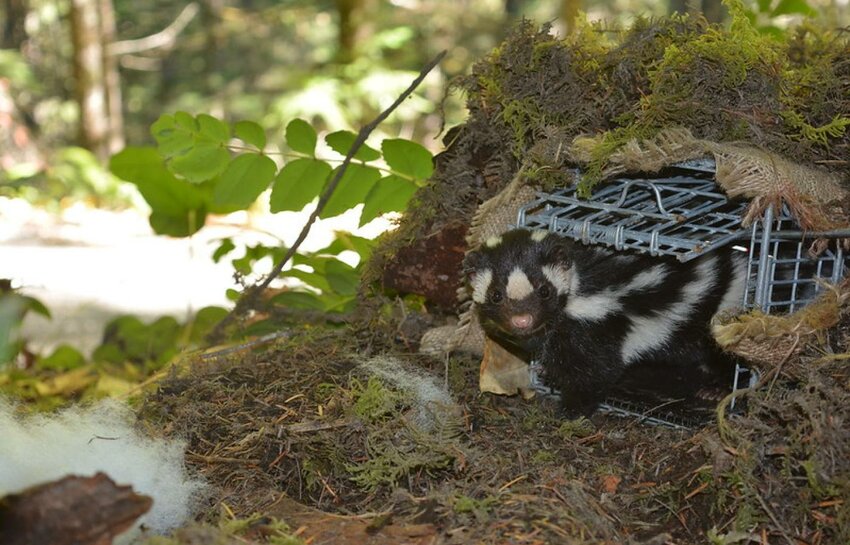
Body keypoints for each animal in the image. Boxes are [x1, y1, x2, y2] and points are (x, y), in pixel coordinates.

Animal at [460, 227, 744, 414]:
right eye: (496, 295)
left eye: (545, 291)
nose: (522, 320)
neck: (576, 284)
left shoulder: (595, 321)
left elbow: (596, 371)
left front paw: (571, 409)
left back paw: (716, 390)